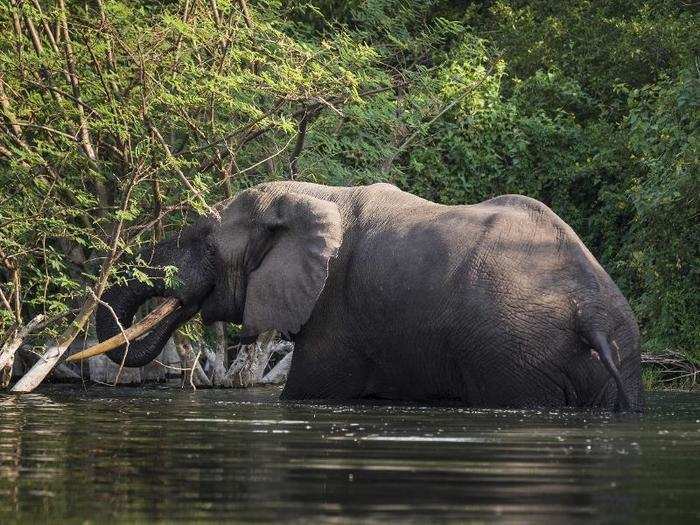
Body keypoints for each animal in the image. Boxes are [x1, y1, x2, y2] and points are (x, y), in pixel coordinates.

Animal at [85, 182, 644, 412]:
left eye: (204, 242)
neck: (310, 195)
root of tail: (591, 311)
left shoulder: (336, 311)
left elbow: (308, 392)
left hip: (515, 351)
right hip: (614, 352)